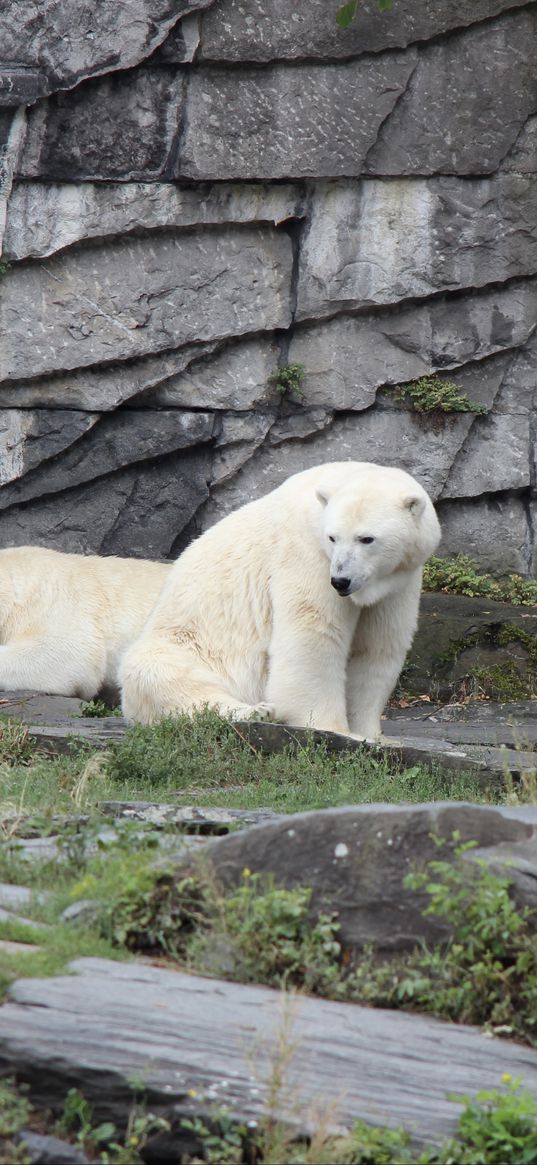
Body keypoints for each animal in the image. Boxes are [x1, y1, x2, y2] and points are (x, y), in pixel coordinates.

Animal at [121, 463, 440, 736]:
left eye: (366, 539)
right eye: (333, 537)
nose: (340, 581)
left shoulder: (399, 581)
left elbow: (378, 646)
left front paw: (372, 735)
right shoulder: (307, 554)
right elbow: (313, 633)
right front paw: (329, 727)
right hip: (183, 643)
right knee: (163, 676)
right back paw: (257, 711)